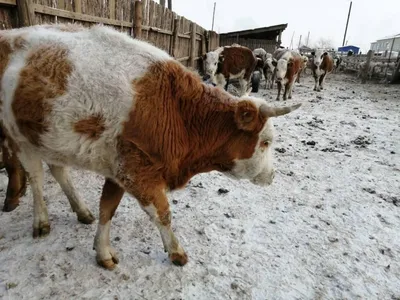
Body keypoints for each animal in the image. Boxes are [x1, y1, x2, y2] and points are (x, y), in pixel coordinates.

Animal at [0, 24, 300, 270]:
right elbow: (162, 214)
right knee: (36, 178)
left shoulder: (119, 170)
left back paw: (81, 210)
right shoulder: (137, 173)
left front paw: (102, 250)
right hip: (20, 138)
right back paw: (41, 221)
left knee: (58, 169)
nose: (272, 176)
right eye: (265, 142)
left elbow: (107, 209)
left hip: (48, 138)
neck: (179, 112)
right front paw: (176, 252)